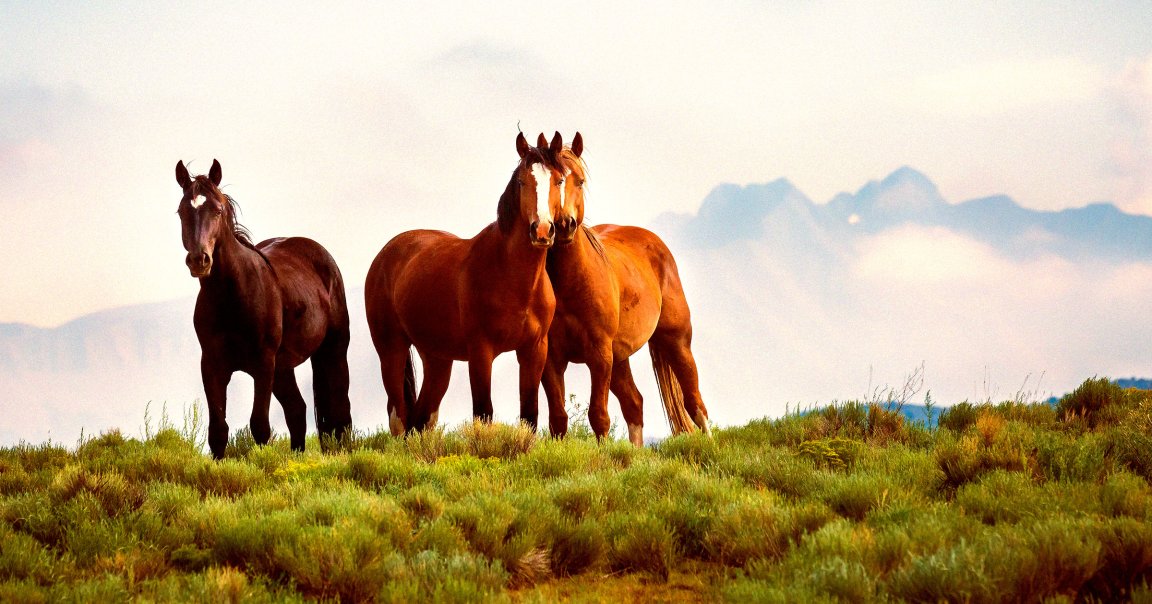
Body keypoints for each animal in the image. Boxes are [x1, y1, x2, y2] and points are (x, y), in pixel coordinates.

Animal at [175, 159, 353, 459]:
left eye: (218, 210)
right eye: (181, 211)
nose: (199, 259)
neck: (233, 296)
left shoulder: (263, 364)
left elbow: (259, 426)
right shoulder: (212, 365)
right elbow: (218, 431)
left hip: (333, 352)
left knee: (340, 413)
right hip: (283, 368)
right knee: (297, 411)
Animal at [364, 132, 566, 434]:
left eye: (559, 180)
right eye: (522, 181)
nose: (542, 230)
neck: (513, 278)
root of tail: (385, 254)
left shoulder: (533, 351)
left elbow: (529, 415)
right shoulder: (480, 353)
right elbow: (483, 412)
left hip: (437, 358)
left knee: (420, 419)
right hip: (391, 350)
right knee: (398, 416)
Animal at [542, 133, 711, 446]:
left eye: (579, 181)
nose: (565, 224)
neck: (572, 285)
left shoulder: (599, 355)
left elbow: (598, 415)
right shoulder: (552, 359)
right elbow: (558, 419)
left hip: (676, 341)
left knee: (694, 400)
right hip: (620, 358)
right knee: (635, 403)